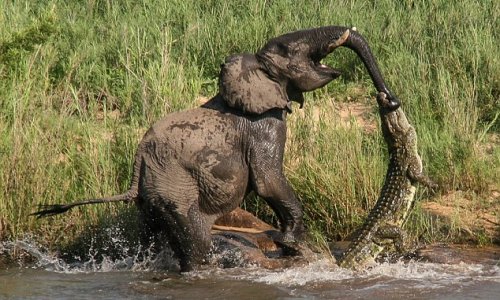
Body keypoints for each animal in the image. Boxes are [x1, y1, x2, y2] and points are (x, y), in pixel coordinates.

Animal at [32, 25, 398, 272]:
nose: (389, 100)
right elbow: (268, 181)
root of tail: (139, 161)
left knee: (151, 234)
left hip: (152, 195)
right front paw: (290, 244)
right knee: (196, 239)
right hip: (174, 185)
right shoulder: (264, 125)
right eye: (286, 48)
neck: (252, 70)